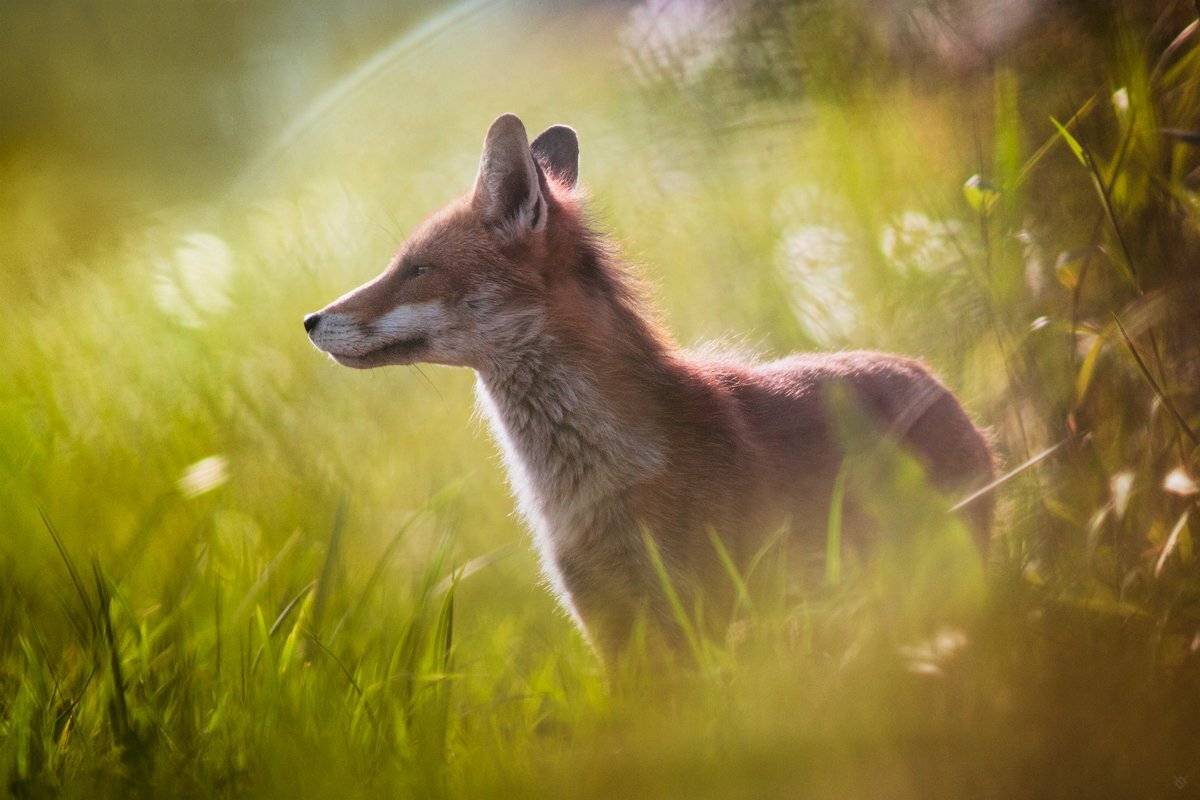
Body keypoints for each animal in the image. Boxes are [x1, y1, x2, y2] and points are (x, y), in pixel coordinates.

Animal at [305, 114, 995, 664]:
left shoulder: (697, 612)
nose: (310, 321)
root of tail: (938, 382)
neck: (589, 482)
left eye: (416, 269)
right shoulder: (606, 620)